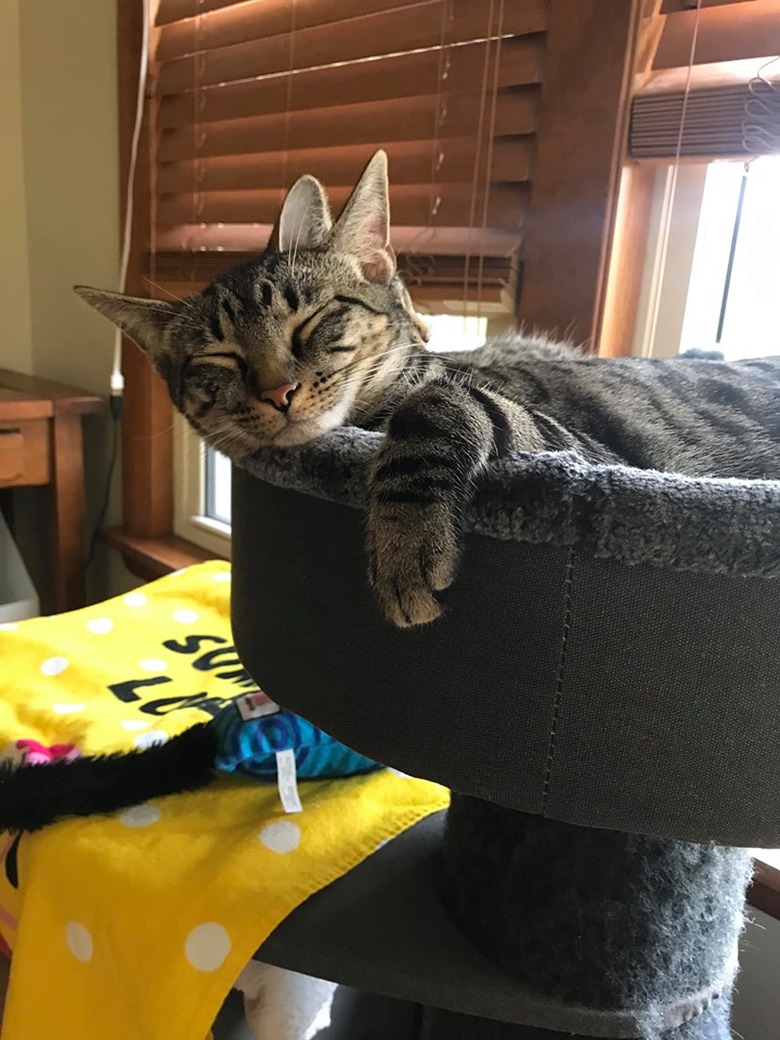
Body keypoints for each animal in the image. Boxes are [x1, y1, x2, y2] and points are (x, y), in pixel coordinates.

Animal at [3, 150, 777, 832]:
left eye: (312, 321)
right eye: (219, 357)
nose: (278, 391)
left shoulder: (579, 449)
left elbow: (438, 401)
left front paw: (404, 543)